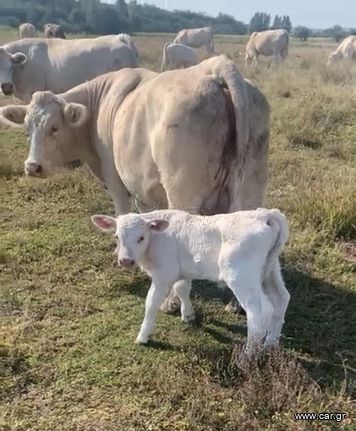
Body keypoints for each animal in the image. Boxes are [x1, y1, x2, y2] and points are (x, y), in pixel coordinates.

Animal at [92, 208, 290, 354]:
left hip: (241, 276)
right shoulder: (183, 272)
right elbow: (182, 289)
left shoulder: (163, 275)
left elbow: (151, 303)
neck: (158, 238)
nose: (125, 261)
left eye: (141, 237)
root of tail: (264, 214)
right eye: (117, 236)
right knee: (281, 299)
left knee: (260, 310)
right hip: (270, 270)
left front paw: (142, 336)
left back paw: (248, 356)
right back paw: (270, 344)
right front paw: (187, 315)